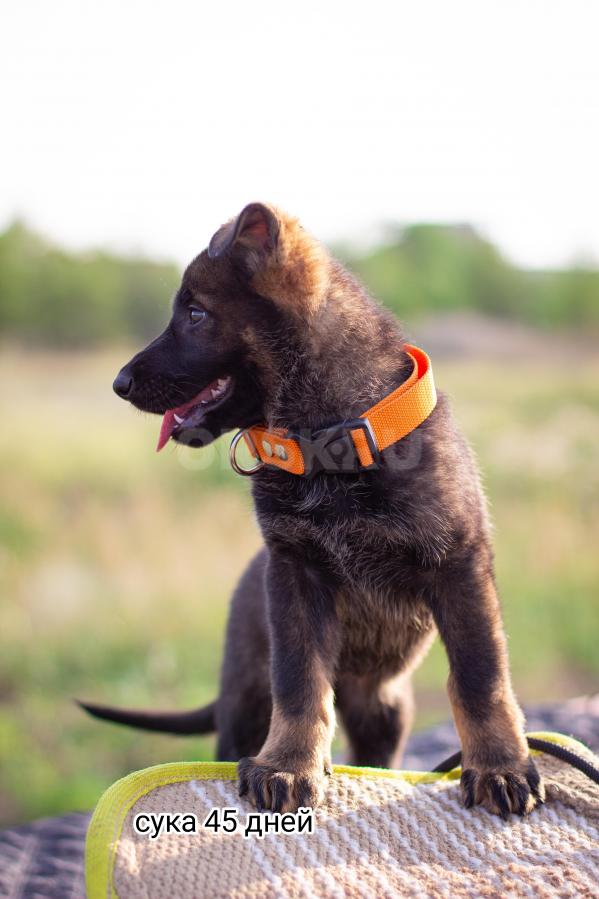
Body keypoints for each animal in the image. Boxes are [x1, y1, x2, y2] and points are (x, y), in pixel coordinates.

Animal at [82, 202, 544, 818]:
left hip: (384, 709)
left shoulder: (459, 566)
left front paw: (499, 765)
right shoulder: (295, 574)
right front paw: (288, 765)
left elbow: (480, 674)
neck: (332, 441)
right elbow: (300, 683)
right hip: (244, 706)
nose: (119, 383)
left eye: (196, 314)